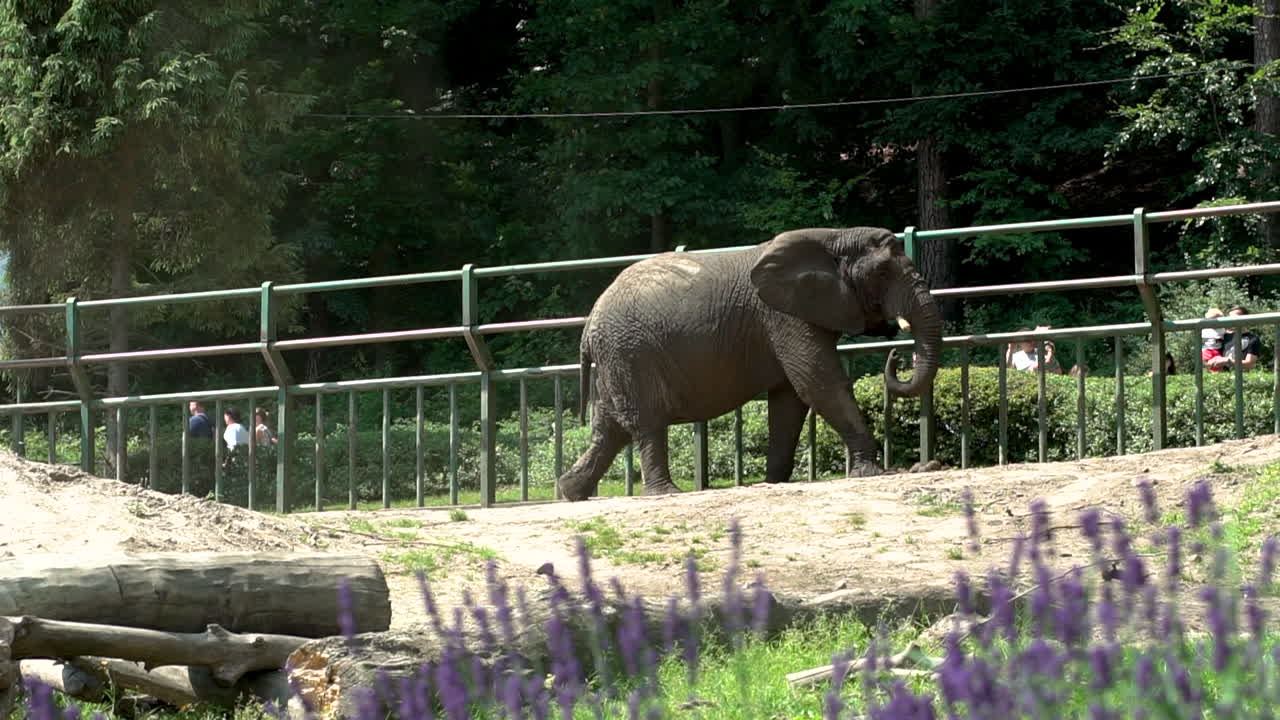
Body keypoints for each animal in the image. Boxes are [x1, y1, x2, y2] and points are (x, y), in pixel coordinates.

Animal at [555, 226, 942, 501]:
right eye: (883, 273)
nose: (898, 354)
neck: (834, 236)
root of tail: (588, 326)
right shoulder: (783, 317)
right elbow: (819, 383)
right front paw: (872, 472)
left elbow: (790, 400)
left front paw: (774, 482)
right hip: (630, 353)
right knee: (646, 422)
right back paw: (665, 493)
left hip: (618, 358)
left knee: (609, 428)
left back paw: (572, 492)